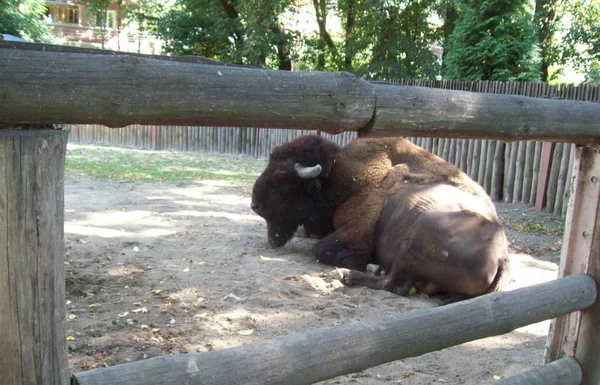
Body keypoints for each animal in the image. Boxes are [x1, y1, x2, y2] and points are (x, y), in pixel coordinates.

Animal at [251, 135, 508, 300]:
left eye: (282, 180)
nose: (255, 205)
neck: (338, 180)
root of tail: (503, 257)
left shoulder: (354, 233)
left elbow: (322, 249)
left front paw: (350, 262)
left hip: (417, 235)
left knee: (394, 284)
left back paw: (348, 274)